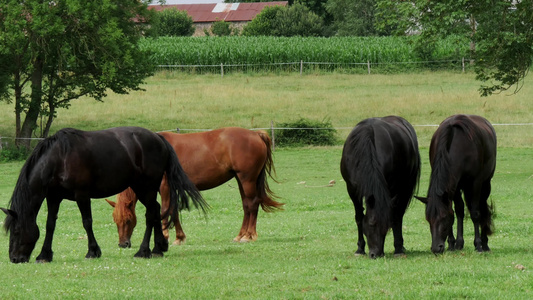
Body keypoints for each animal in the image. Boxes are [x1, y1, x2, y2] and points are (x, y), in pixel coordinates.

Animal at [1, 126, 207, 262]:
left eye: (16, 231)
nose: (14, 258)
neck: (59, 159)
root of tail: (159, 139)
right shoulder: (54, 197)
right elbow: (50, 224)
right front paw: (44, 255)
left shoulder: (82, 195)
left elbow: (87, 222)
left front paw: (93, 251)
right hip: (144, 188)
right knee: (156, 211)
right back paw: (158, 248)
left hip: (145, 187)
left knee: (151, 214)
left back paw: (143, 251)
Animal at [106, 126, 284, 246]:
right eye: (115, 220)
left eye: (129, 220)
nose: (123, 244)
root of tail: (255, 134)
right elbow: (173, 211)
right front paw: (179, 237)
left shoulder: (165, 187)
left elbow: (165, 210)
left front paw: (165, 236)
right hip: (241, 180)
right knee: (246, 206)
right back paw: (240, 235)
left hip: (247, 179)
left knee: (253, 205)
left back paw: (249, 235)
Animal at [340, 116, 420, 258]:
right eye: (372, 224)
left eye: (385, 227)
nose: (375, 254)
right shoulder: (352, 189)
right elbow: (359, 217)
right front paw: (360, 249)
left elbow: (394, 217)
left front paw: (398, 249)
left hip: (404, 188)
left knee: (399, 214)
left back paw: (400, 247)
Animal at [416, 113, 494, 254]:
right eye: (428, 219)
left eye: (443, 218)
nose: (436, 248)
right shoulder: (454, 186)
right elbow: (457, 211)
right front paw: (455, 244)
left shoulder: (476, 182)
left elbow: (475, 213)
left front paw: (478, 244)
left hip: (485, 184)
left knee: (483, 207)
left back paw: (485, 243)